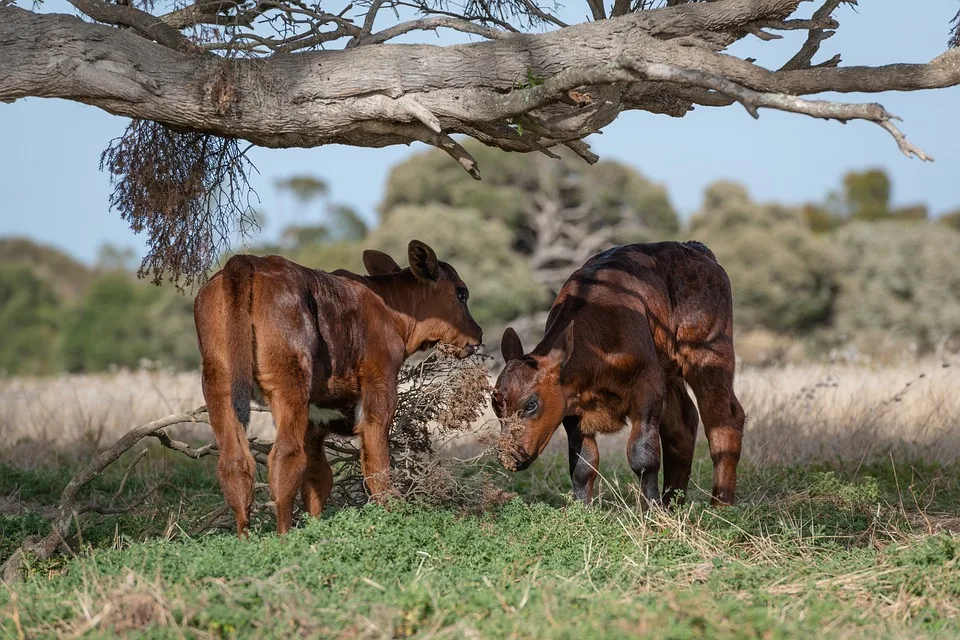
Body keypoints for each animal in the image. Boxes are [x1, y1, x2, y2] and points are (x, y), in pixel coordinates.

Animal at [195, 240, 484, 536]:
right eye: (461, 293)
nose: (478, 334)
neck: (392, 309)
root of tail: (249, 261)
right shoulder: (380, 387)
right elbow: (377, 462)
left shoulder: (315, 423)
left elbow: (318, 478)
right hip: (290, 385)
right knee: (284, 457)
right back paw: (284, 536)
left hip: (218, 386)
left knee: (235, 464)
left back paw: (245, 538)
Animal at [492, 242, 748, 508]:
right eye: (495, 405)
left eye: (531, 405)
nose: (507, 456)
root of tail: (695, 248)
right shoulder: (571, 407)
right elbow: (583, 464)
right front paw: (582, 510)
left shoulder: (648, 384)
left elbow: (642, 455)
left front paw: (652, 510)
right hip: (670, 371)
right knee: (682, 426)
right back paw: (673, 503)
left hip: (709, 354)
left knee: (724, 420)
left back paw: (720, 505)